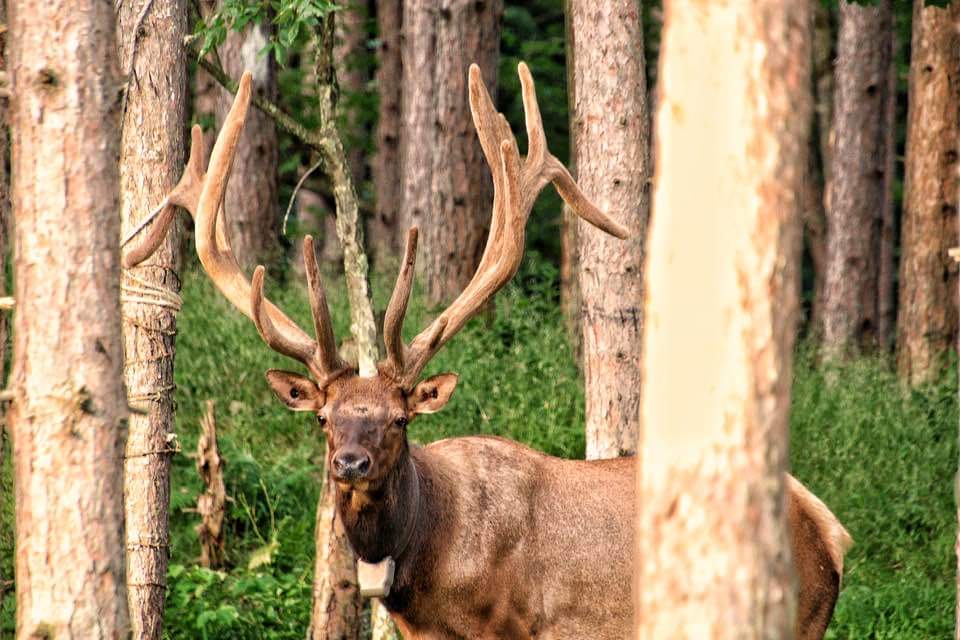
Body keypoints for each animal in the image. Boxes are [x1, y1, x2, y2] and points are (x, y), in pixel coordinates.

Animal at [128, 64, 852, 639]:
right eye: (325, 417)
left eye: (399, 419)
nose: (351, 463)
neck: (425, 564)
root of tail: (832, 529)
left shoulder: (512, 625)